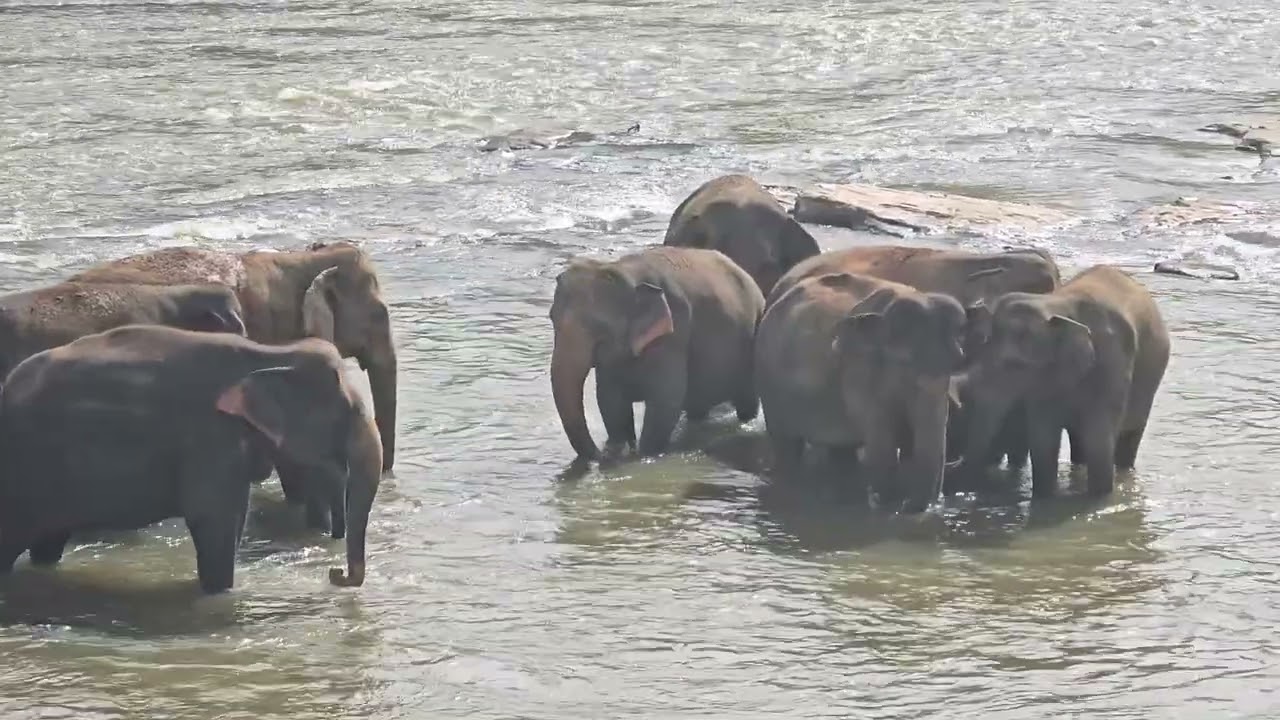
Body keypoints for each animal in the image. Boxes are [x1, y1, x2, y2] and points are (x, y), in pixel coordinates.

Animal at [0, 324, 382, 593]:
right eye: (351, 411)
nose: (334, 573)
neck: (270, 352)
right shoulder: (209, 438)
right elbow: (214, 520)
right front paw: (218, 593)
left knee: (47, 543)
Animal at [550, 246, 765, 460]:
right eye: (552, 319)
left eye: (601, 330)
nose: (601, 453)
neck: (624, 271)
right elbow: (609, 397)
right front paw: (619, 449)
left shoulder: (675, 331)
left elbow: (666, 400)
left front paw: (643, 454)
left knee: (746, 401)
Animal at [755, 271, 969, 513]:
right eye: (903, 363)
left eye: (957, 362)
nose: (908, 508)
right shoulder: (859, 370)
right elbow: (881, 446)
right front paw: (885, 506)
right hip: (770, 384)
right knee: (787, 446)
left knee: (841, 453)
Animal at [950, 265, 1170, 498]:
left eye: (1015, 365)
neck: (1052, 305)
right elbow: (1043, 441)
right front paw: (1043, 498)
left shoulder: (1113, 363)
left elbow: (1098, 441)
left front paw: (1098, 500)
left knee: (1128, 441)